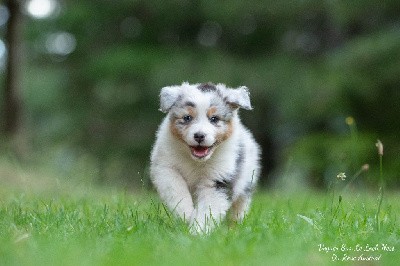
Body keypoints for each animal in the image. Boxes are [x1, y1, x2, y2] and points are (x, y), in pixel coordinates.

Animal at [149, 82, 260, 233]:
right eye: (187, 118)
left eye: (214, 119)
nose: (199, 136)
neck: (196, 161)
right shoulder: (166, 168)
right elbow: (177, 191)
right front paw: (186, 216)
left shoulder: (218, 179)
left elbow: (209, 208)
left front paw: (198, 231)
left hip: (246, 182)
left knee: (239, 207)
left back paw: (234, 227)